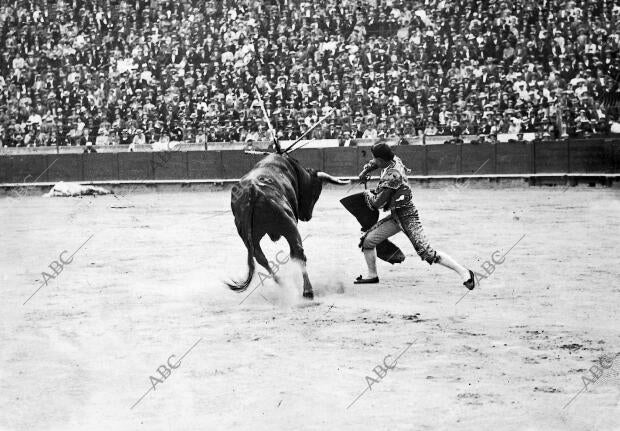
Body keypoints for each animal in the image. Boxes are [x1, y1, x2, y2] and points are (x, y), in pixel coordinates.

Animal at [226, 154, 348, 298]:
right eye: (316, 193)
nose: (307, 216)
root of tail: (253, 189)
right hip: (290, 226)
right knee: (298, 253)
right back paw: (307, 291)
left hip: (247, 236)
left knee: (261, 258)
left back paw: (282, 283)